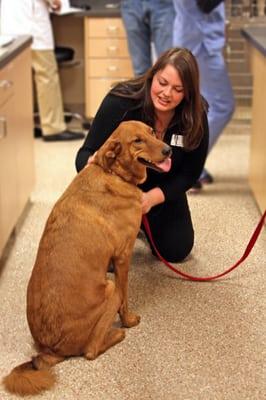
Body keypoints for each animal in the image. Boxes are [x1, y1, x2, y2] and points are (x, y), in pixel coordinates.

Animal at [2, 120, 170, 396]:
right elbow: (126, 299)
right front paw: (128, 321)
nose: (169, 150)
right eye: (137, 140)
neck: (113, 173)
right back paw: (116, 335)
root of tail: (48, 351)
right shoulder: (123, 257)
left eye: (152, 132)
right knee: (90, 350)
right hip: (109, 290)